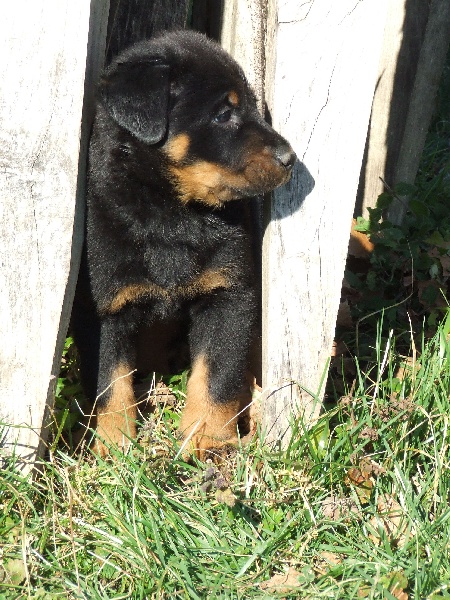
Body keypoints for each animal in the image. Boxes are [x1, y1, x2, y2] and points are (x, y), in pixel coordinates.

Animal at [72, 30, 298, 458]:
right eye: (223, 114)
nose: (290, 158)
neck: (174, 214)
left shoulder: (229, 294)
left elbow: (216, 374)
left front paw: (207, 438)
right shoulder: (105, 305)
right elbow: (111, 382)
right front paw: (114, 447)